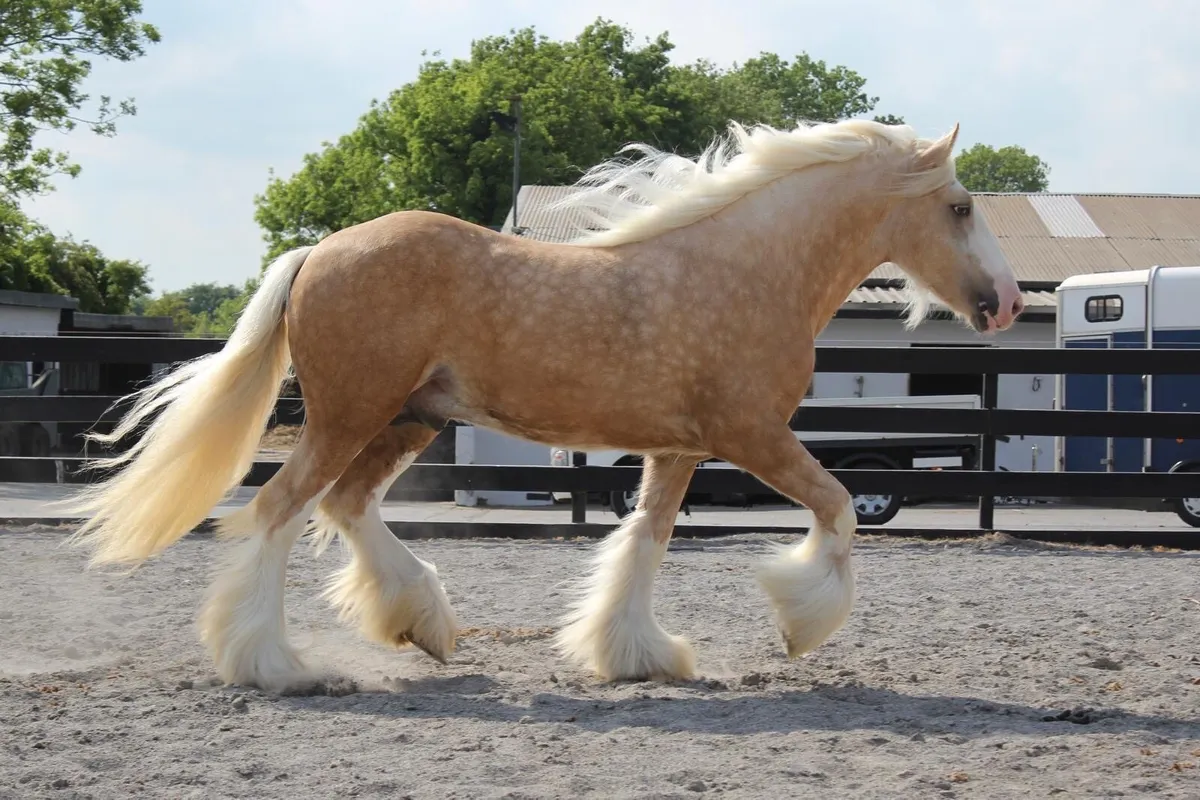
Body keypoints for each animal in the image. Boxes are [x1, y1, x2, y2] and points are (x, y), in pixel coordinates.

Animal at [61, 118, 1023, 692]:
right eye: (958, 206)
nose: (1009, 302)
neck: (746, 270)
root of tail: (318, 252)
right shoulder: (752, 435)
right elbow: (839, 508)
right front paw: (799, 625)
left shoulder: (678, 448)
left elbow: (643, 543)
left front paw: (637, 656)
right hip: (348, 416)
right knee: (277, 512)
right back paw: (276, 666)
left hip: (411, 419)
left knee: (346, 507)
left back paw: (423, 625)